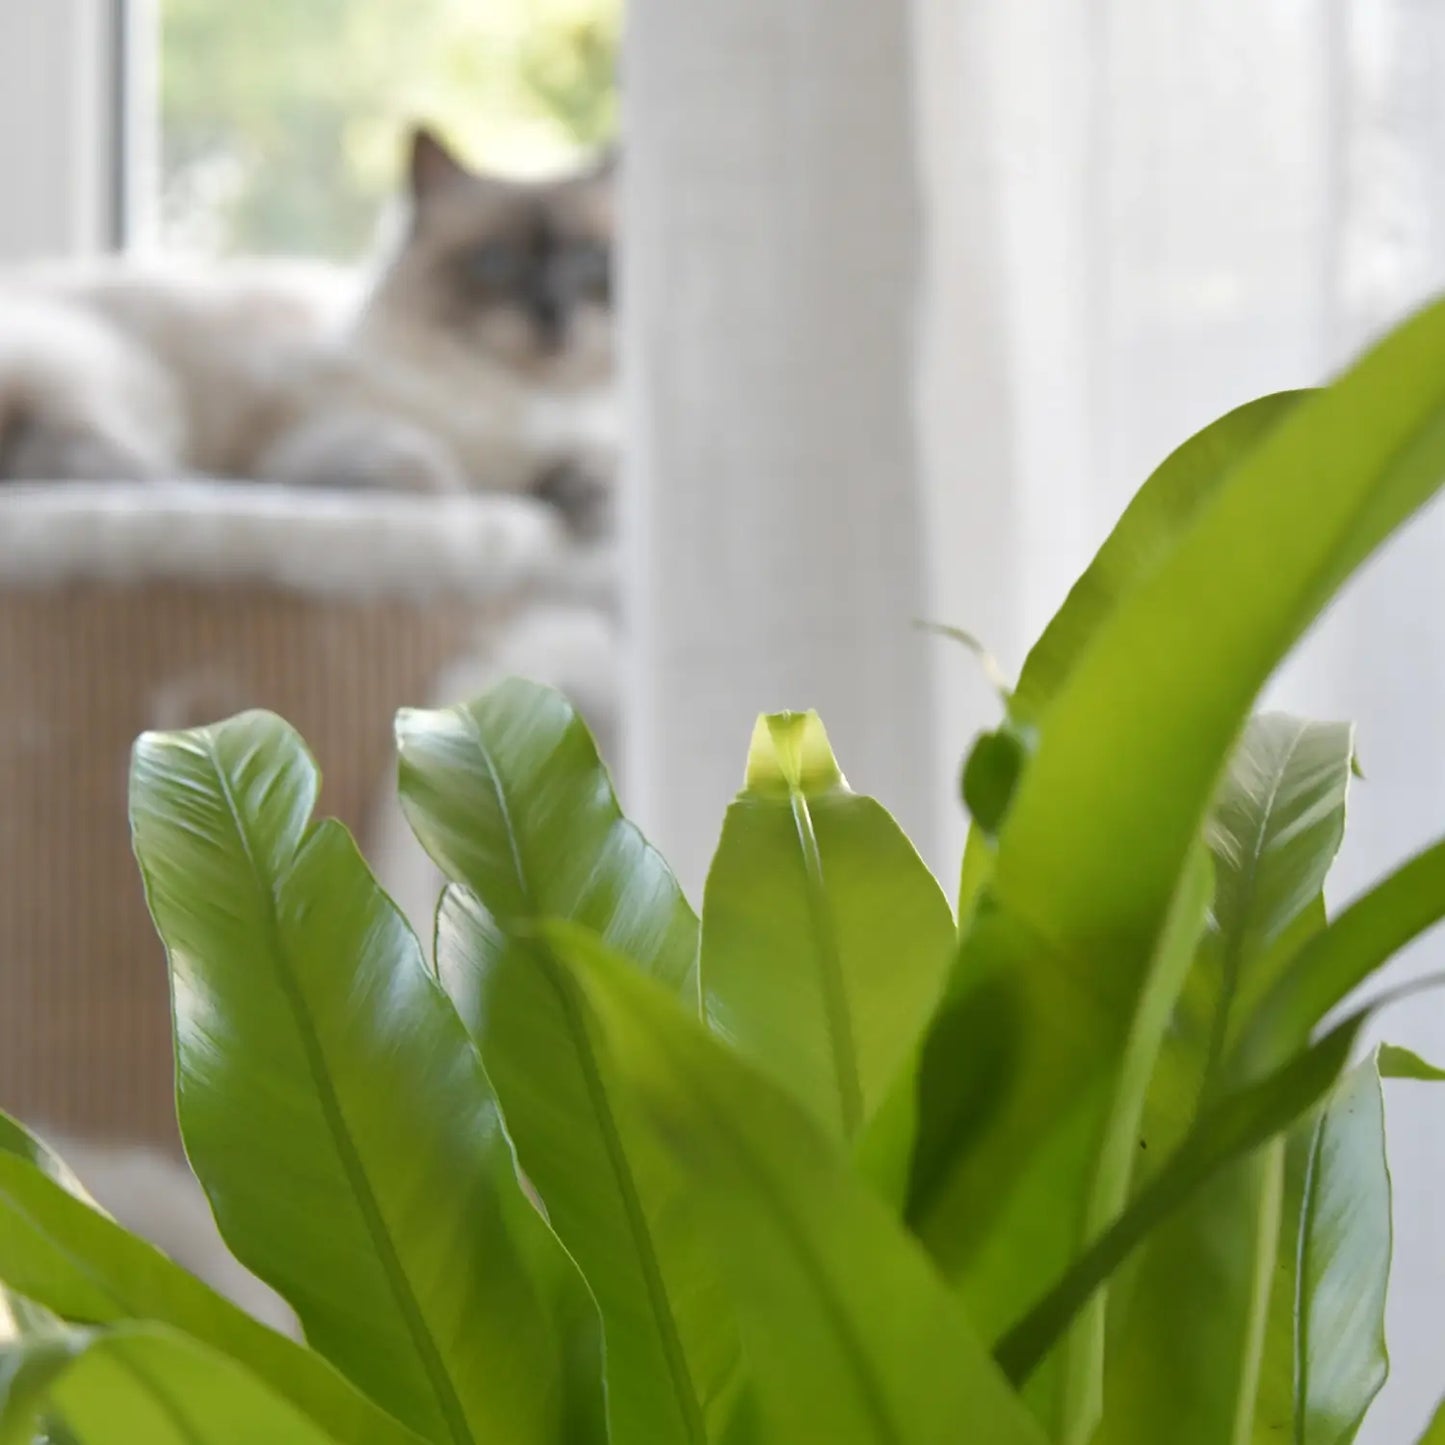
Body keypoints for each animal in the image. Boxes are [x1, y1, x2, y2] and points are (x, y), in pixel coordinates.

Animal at [0, 127, 615, 534]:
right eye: (495, 262)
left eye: (588, 259)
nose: (553, 314)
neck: (511, 397)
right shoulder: (321, 436)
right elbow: (422, 464)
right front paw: (458, 503)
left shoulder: (565, 443)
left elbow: (587, 464)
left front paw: (590, 505)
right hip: (119, 383)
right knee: (85, 464)